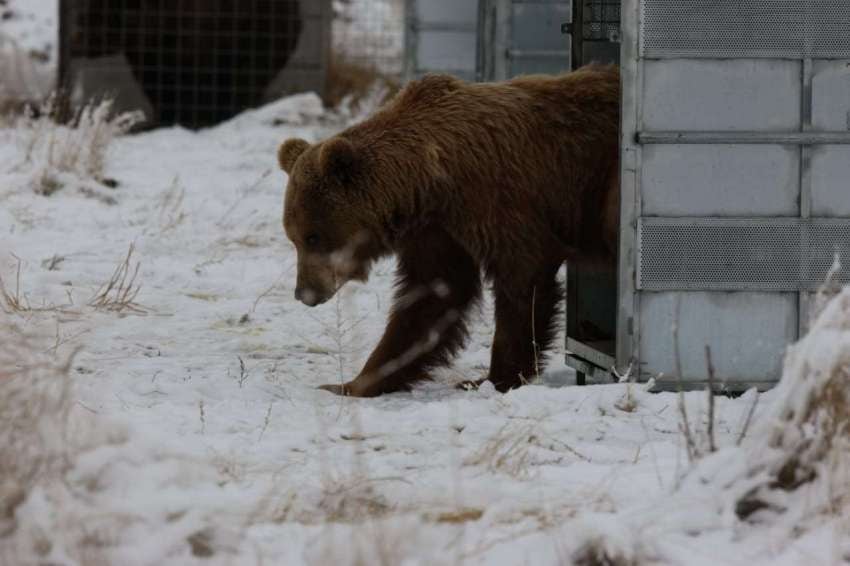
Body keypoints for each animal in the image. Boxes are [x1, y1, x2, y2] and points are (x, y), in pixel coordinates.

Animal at [276, 63, 616, 400]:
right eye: (293, 238)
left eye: (313, 236)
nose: (304, 292)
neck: (431, 183)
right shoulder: (439, 231)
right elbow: (432, 297)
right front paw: (355, 382)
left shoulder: (499, 202)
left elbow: (521, 280)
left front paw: (493, 379)